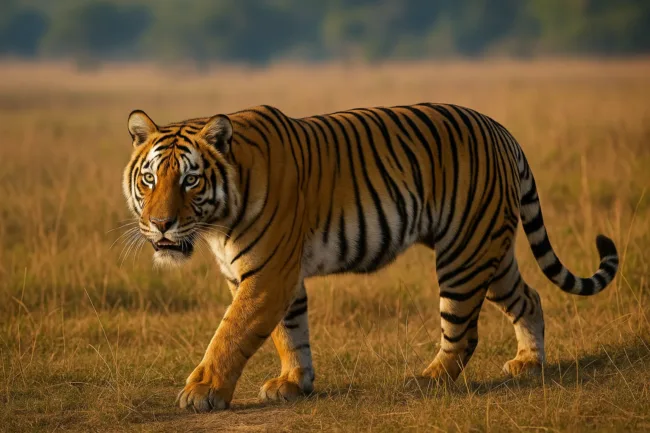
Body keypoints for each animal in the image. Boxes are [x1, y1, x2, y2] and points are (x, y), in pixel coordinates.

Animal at [122, 103, 619, 412]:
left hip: (464, 254)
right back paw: (529, 365)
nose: (161, 224)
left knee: (463, 331)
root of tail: (500, 129)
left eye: (190, 180)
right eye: (149, 179)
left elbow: (230, 334)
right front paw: (293, 383)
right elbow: (289, 333)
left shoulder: (267, 274)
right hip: (491, 253)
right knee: (529, 298)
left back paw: (428, 379)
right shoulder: (270, 276)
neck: (217, 224)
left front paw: (202, 391)